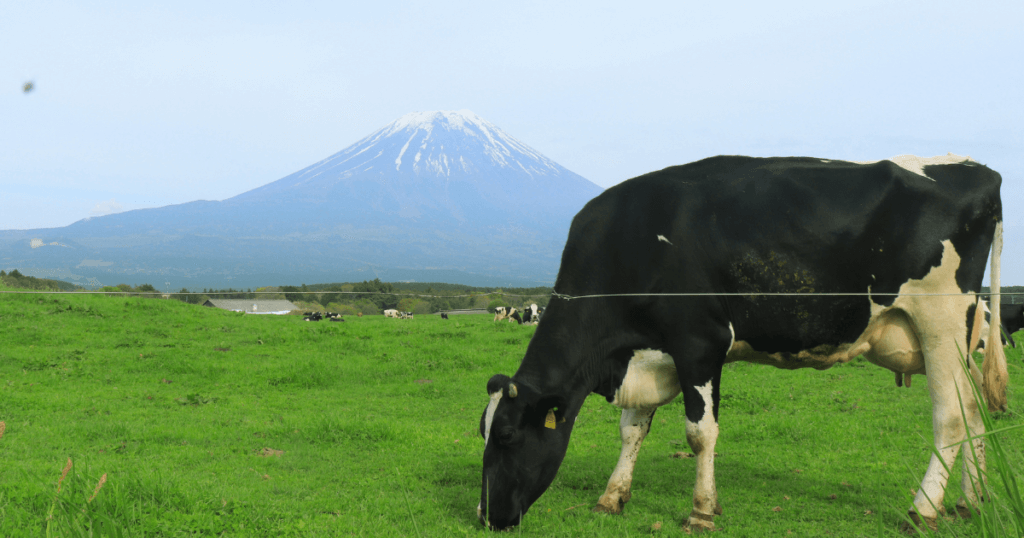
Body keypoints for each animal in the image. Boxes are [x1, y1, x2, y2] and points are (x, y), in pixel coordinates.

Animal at [477, 154, 1007, 532]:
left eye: (506, 435)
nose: (485, 517)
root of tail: (975, 170)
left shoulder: (699, 343)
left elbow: (699, 433)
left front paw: (701, 512)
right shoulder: (649, 349)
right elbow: (632, 430)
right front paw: (612, 497)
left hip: (940, 324)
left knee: (952, 417)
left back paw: (923, 510)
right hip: (962, 339)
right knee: (977, 410)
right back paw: (971, 503)